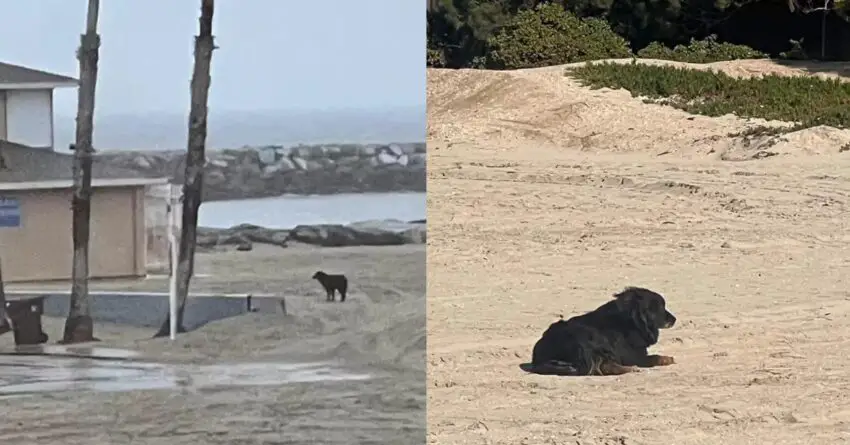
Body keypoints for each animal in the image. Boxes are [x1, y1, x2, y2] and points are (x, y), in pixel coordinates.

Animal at [516, 284, 676, 374]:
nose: (674, 319)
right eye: (660, 308)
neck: (630, 320)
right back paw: (630, 369)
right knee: (603, 366)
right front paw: (666, 358)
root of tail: (538, 360)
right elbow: (654, 357)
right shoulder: (632, 356)